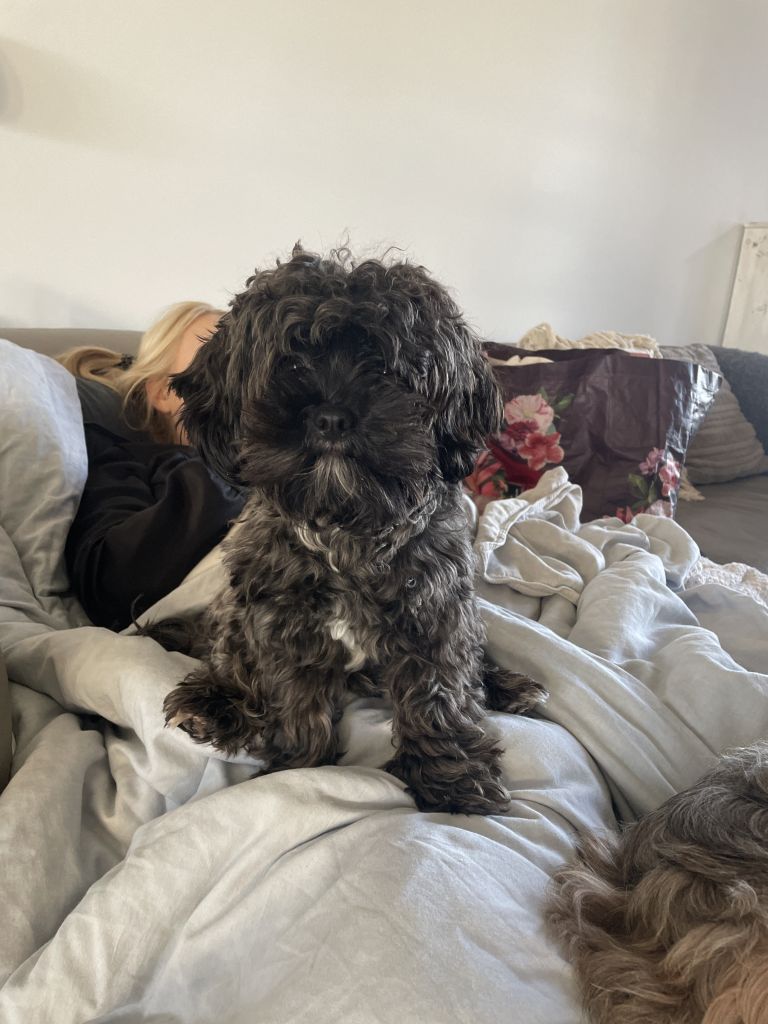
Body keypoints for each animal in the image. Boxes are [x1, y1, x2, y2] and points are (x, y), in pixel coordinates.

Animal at [157, 244, 545, 814]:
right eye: (292, 362)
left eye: (385, 369)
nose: (332, 417)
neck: (348, 526)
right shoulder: (282, 625)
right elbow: (296, 705)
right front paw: (299, 769)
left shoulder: (436, 611)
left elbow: (440, 694)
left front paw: (451, 778)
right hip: (236, 612)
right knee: (229, 656)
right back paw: (217, 701)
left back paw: (504, 685)